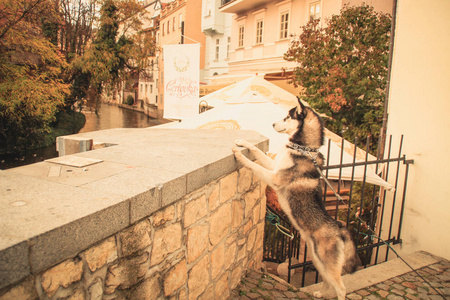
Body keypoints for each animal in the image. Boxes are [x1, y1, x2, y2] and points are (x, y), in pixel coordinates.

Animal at [232, 98, 358, 298]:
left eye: (287, 117)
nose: (272, 124)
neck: (303, 149)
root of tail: (340, 228)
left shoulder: (275, 178)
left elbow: (254, 164)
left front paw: (239, 155)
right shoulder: (274, 166)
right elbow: (257, 153)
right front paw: (243, 142)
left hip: (327, 263)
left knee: (341, 288)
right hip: (317, 260)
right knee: (327, 282)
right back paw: (320, 294)